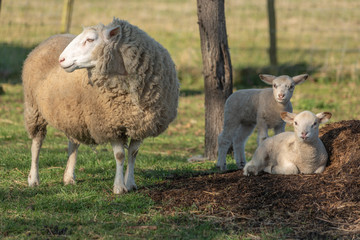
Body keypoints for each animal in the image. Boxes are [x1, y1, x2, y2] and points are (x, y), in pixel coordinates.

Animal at [22, 18, 180, 195]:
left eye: (90, 39)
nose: (61, 59)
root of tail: (51, 38)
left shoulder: (141, 124)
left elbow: (133, 153)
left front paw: (130, 183)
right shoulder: (111, 124)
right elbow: (119, 155)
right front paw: (119, 187)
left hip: (73, 115)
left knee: (73, 144)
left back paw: (68, 177)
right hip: (33, 108)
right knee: (37, 143)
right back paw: (33, 179)